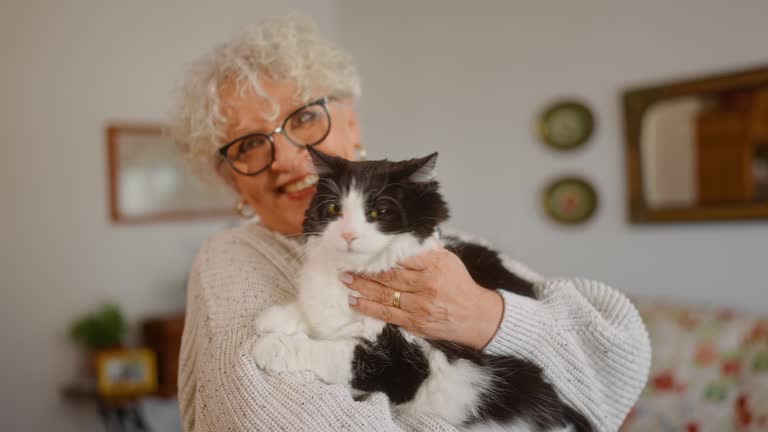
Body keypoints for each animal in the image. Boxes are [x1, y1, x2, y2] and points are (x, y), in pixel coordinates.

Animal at [252, 148, 592, 432]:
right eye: (334, 209)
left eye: (379, 212)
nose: (348, 234)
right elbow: (311, 313)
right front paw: (273, 319)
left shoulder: (406, 365)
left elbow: (340, 354)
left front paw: (271, 346)